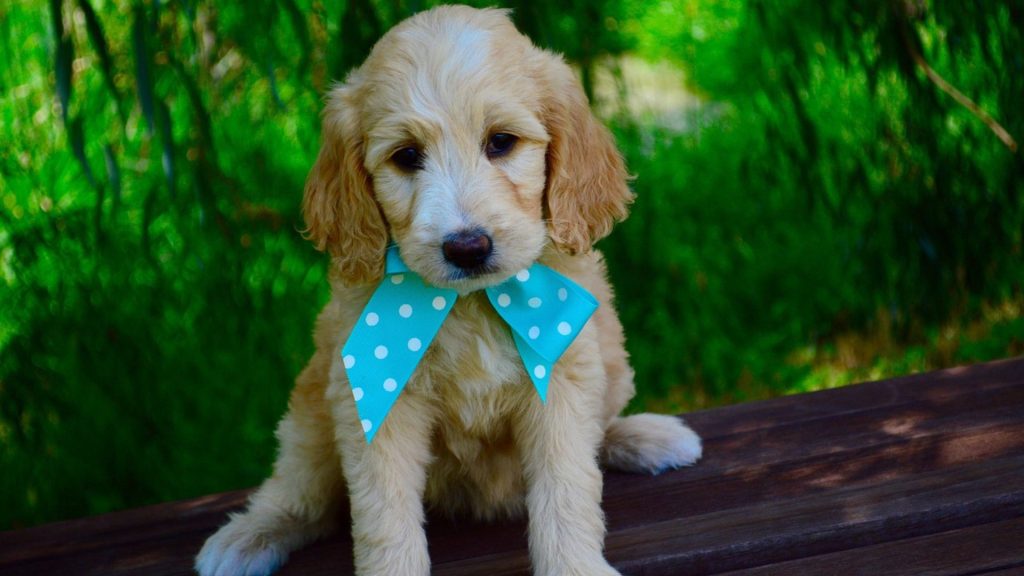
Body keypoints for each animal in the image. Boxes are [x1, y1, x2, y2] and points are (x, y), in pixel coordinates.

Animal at [195, 5, 700, 573]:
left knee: (601, 429)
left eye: (501, 142)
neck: (471, 301)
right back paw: (249, 536)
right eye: (407, 155)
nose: (467, 247)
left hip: (611, 361)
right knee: (302, 491)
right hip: (312, 415)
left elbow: (567, 489)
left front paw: (575, 565)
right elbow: (383, 513)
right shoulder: (374, 398)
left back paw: (648, 437)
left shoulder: (564, 380)